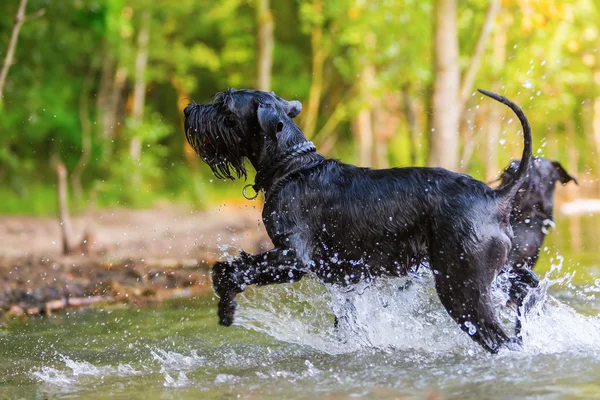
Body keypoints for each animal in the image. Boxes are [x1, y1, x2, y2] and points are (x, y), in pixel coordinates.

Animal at [185, 88, 532, 354]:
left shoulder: (293, 258)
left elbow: (228, 269)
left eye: (224, 103)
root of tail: (496, 197)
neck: (292, 168)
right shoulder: (343, 281)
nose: (188, 109)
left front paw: (226, 308)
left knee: (498, 338)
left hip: (461, 286)